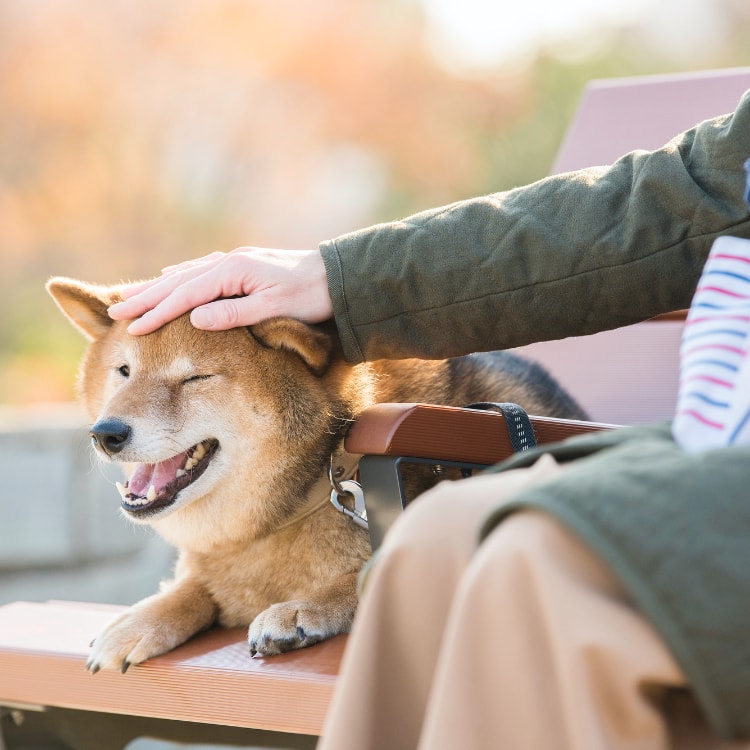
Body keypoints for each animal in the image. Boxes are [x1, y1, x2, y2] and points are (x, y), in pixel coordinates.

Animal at [47, 278, 592, 676]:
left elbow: (371, 572)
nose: (106, 433)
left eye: (195, 378)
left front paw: (301, 608)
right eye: (123, 371)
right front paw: (138, 620)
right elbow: (196, 585)